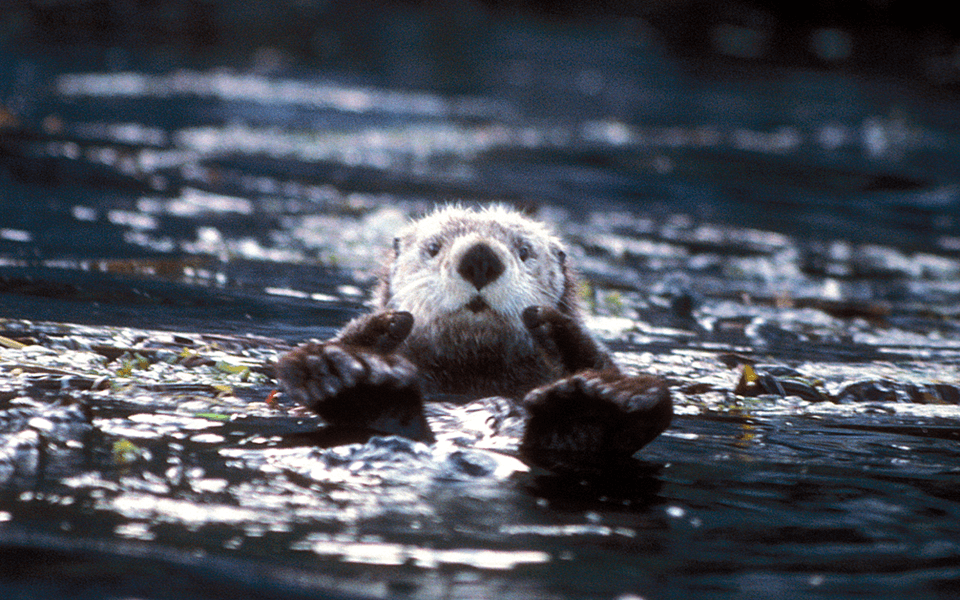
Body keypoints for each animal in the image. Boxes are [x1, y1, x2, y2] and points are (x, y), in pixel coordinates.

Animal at [277, 205, 672, 473]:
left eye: (524, 251)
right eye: (434, 247)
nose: (480, 256)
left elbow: (597, 357)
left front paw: (555, 327)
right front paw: (384, 327)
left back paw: (596, 403)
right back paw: (346, 375)